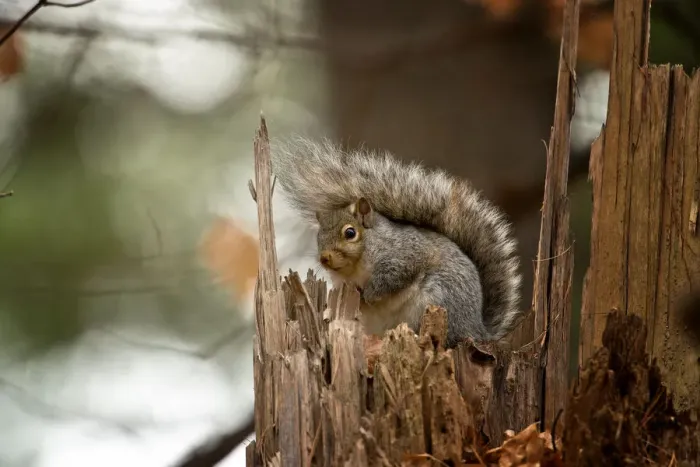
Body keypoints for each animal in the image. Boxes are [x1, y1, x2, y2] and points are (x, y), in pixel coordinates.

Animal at [270, 137, 523, 348]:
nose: (325, 258)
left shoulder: (404, 255)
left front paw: (369, 295)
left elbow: (392, 279)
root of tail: (478, 331)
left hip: (440, 298)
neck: (356, 267)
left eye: (350, 233)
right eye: (318, 236)